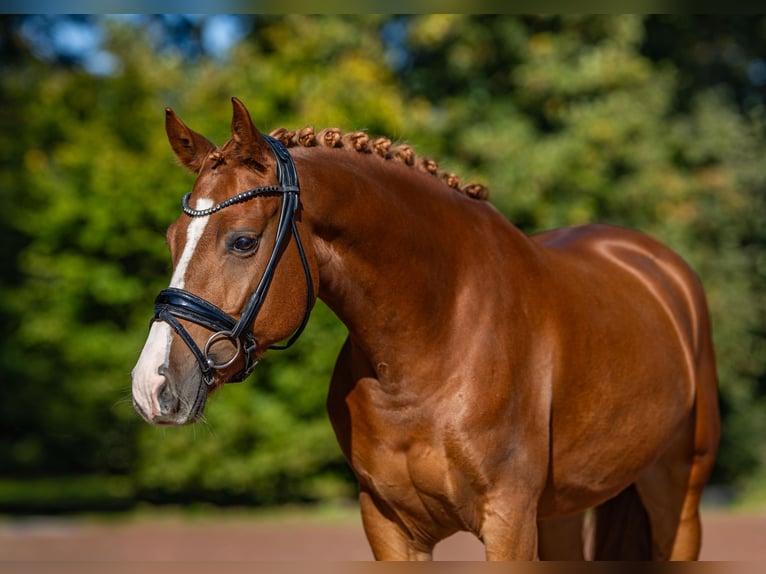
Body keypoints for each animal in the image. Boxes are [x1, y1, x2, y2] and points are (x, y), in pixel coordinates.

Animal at [129, 98, 724, 564]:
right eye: (171, 237)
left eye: (243, 241)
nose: (152, 385)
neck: (434, 343)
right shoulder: (390, 527)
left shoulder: (508, 523)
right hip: (561, 511)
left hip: (679, 496)